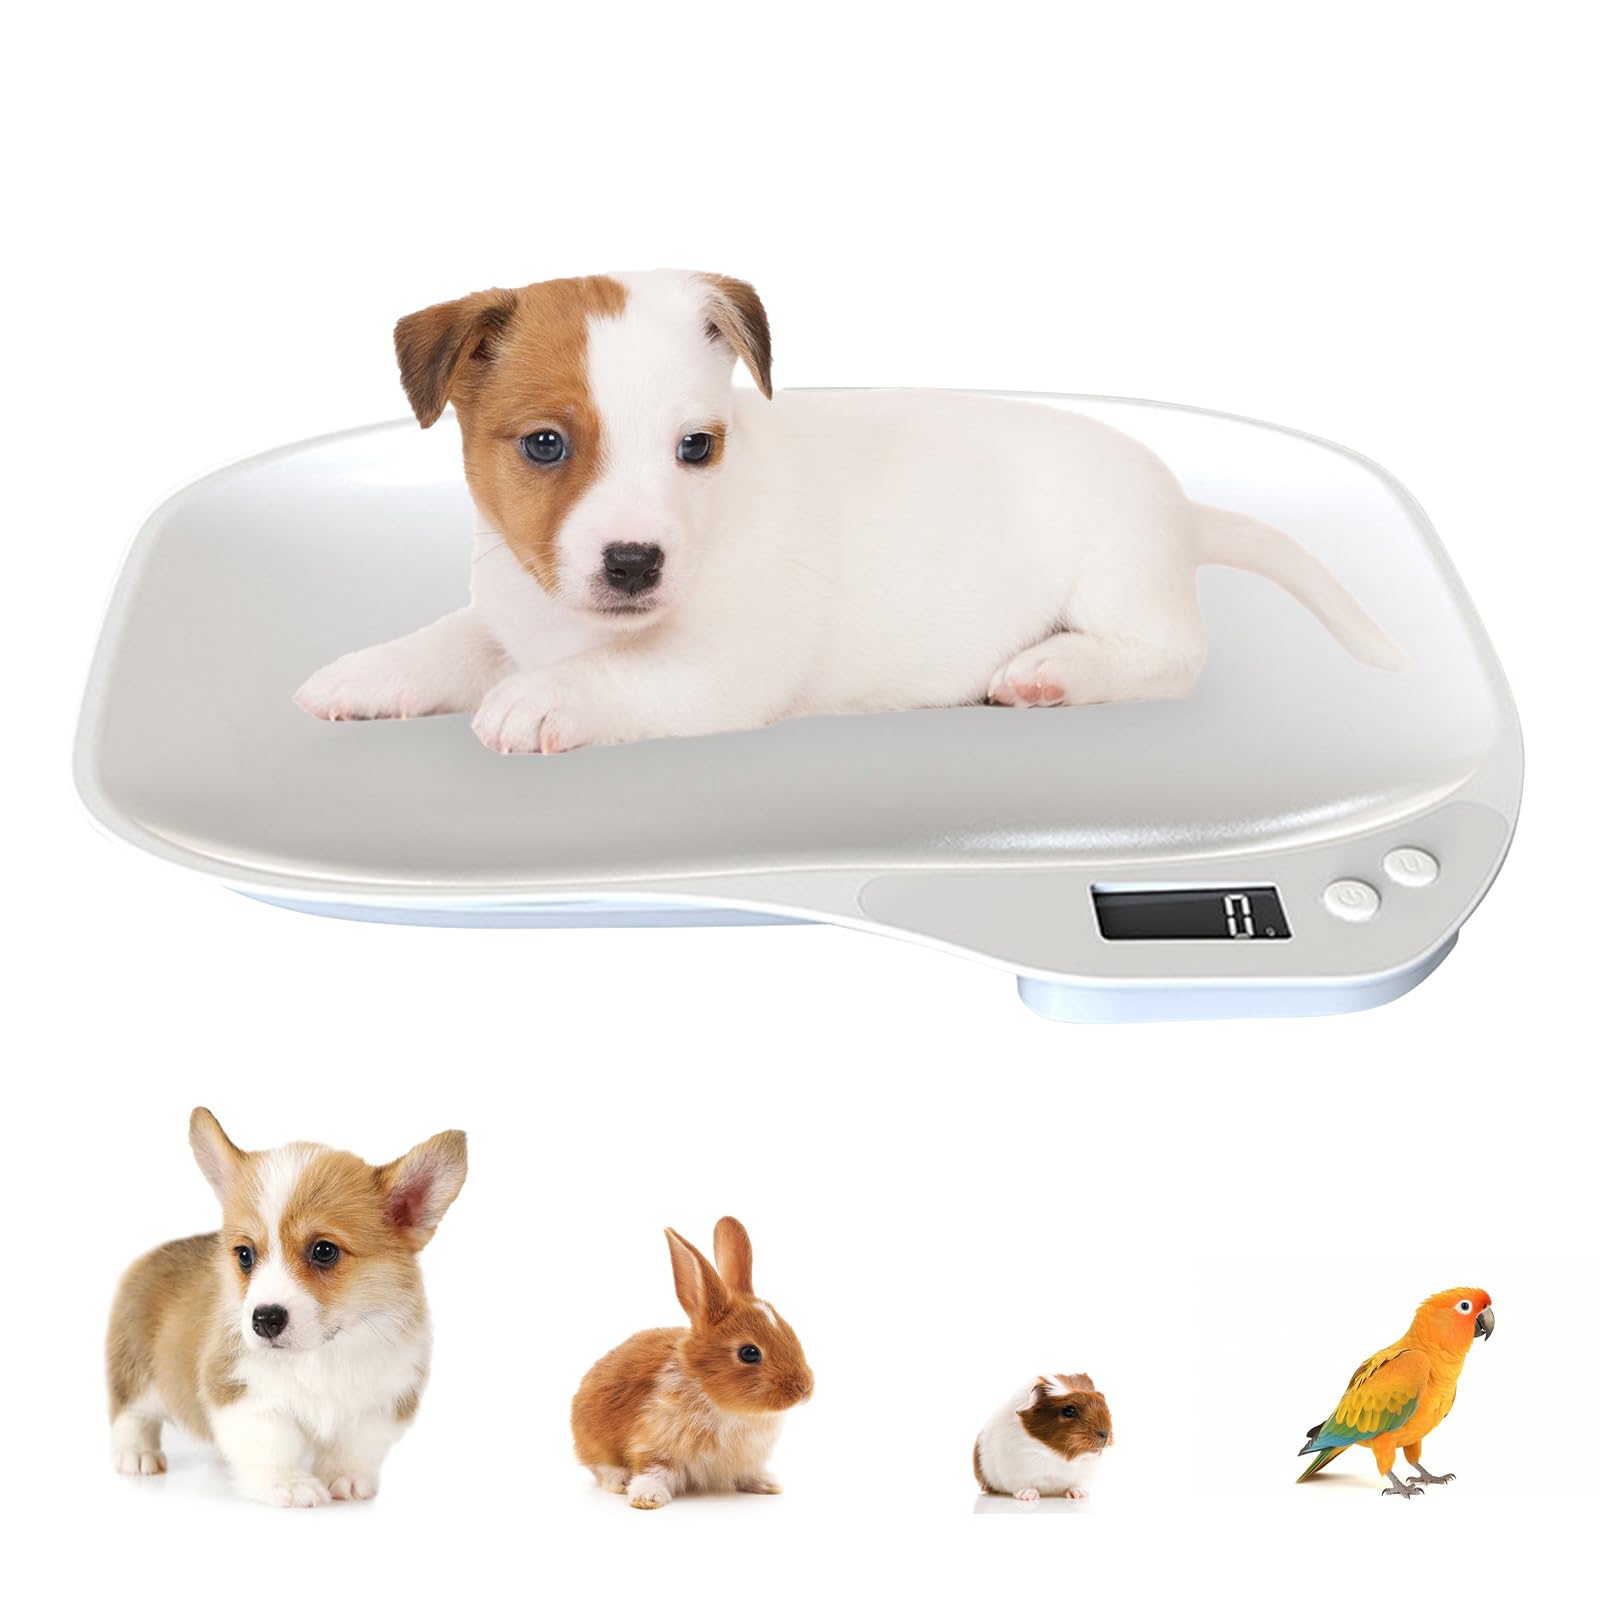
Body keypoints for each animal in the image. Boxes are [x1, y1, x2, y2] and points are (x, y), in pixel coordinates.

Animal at [571, 1215, 814, 1509]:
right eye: (749, 1353)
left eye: (789, 1331)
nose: (804, 1390)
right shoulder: (655, 1442)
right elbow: (652, 1470)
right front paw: (647, 1497)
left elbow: (748, 1473)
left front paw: (767, 1484)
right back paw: (618, 1479)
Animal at [974, 1373, 1113, 1502]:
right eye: (1069, 1410)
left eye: (1103, 1401)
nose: (1105, 1434)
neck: (1055, 1455)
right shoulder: (1017, 1471)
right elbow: (1024, 1486)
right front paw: (1028, 1496)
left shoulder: (1083, 1475)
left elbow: (1075, 1485)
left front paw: (1079, 1495)